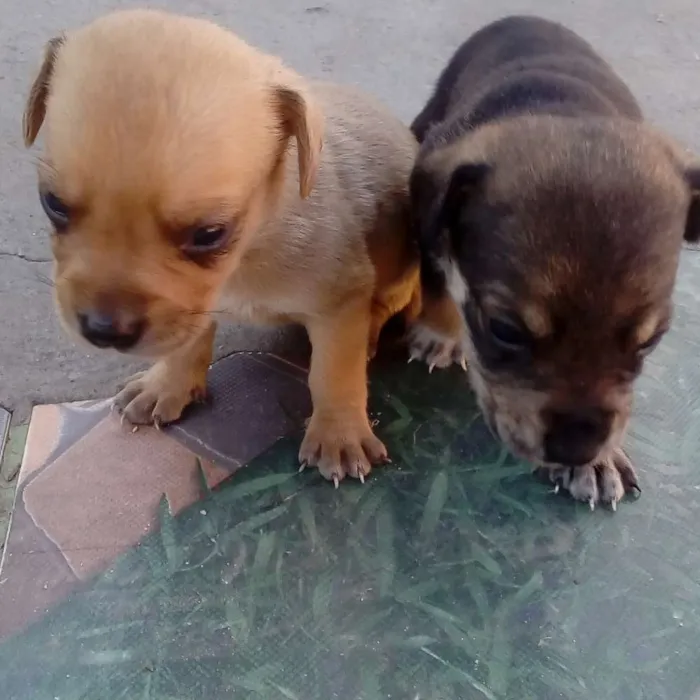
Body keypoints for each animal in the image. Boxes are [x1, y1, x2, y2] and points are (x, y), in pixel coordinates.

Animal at [23, 9, 422, 486]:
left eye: (209, 234)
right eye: (52, 203)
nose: (104, 331)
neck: (250, 251)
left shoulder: (340, 300)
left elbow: (334, 371)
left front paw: (339, 432)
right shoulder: (190, 308)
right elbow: (186, 341)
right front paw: (168, 384)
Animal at [408, 15, 700, 508]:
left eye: (651, 341)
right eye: (505, 330)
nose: (576, 450)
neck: (566, 110)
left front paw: (600, 463)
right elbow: (436, 276)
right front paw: (439, 334)